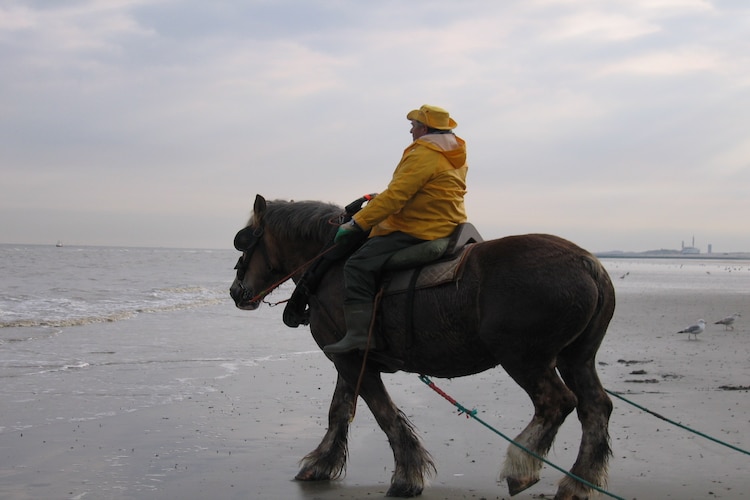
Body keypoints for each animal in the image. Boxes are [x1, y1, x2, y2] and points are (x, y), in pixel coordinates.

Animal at [229, 194, 616, 500]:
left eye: (246, 243)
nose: (235, 291)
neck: (331, 263)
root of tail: (588, 263)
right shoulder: (347, 357)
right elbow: (339, 411)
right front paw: (321, 463)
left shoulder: (352, 360)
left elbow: (384, 414)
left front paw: (406, 476)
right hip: (575, 358)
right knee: (595, 407)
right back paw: (577, 483)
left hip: (524, 358)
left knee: (557, 402)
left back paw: (521, 467)